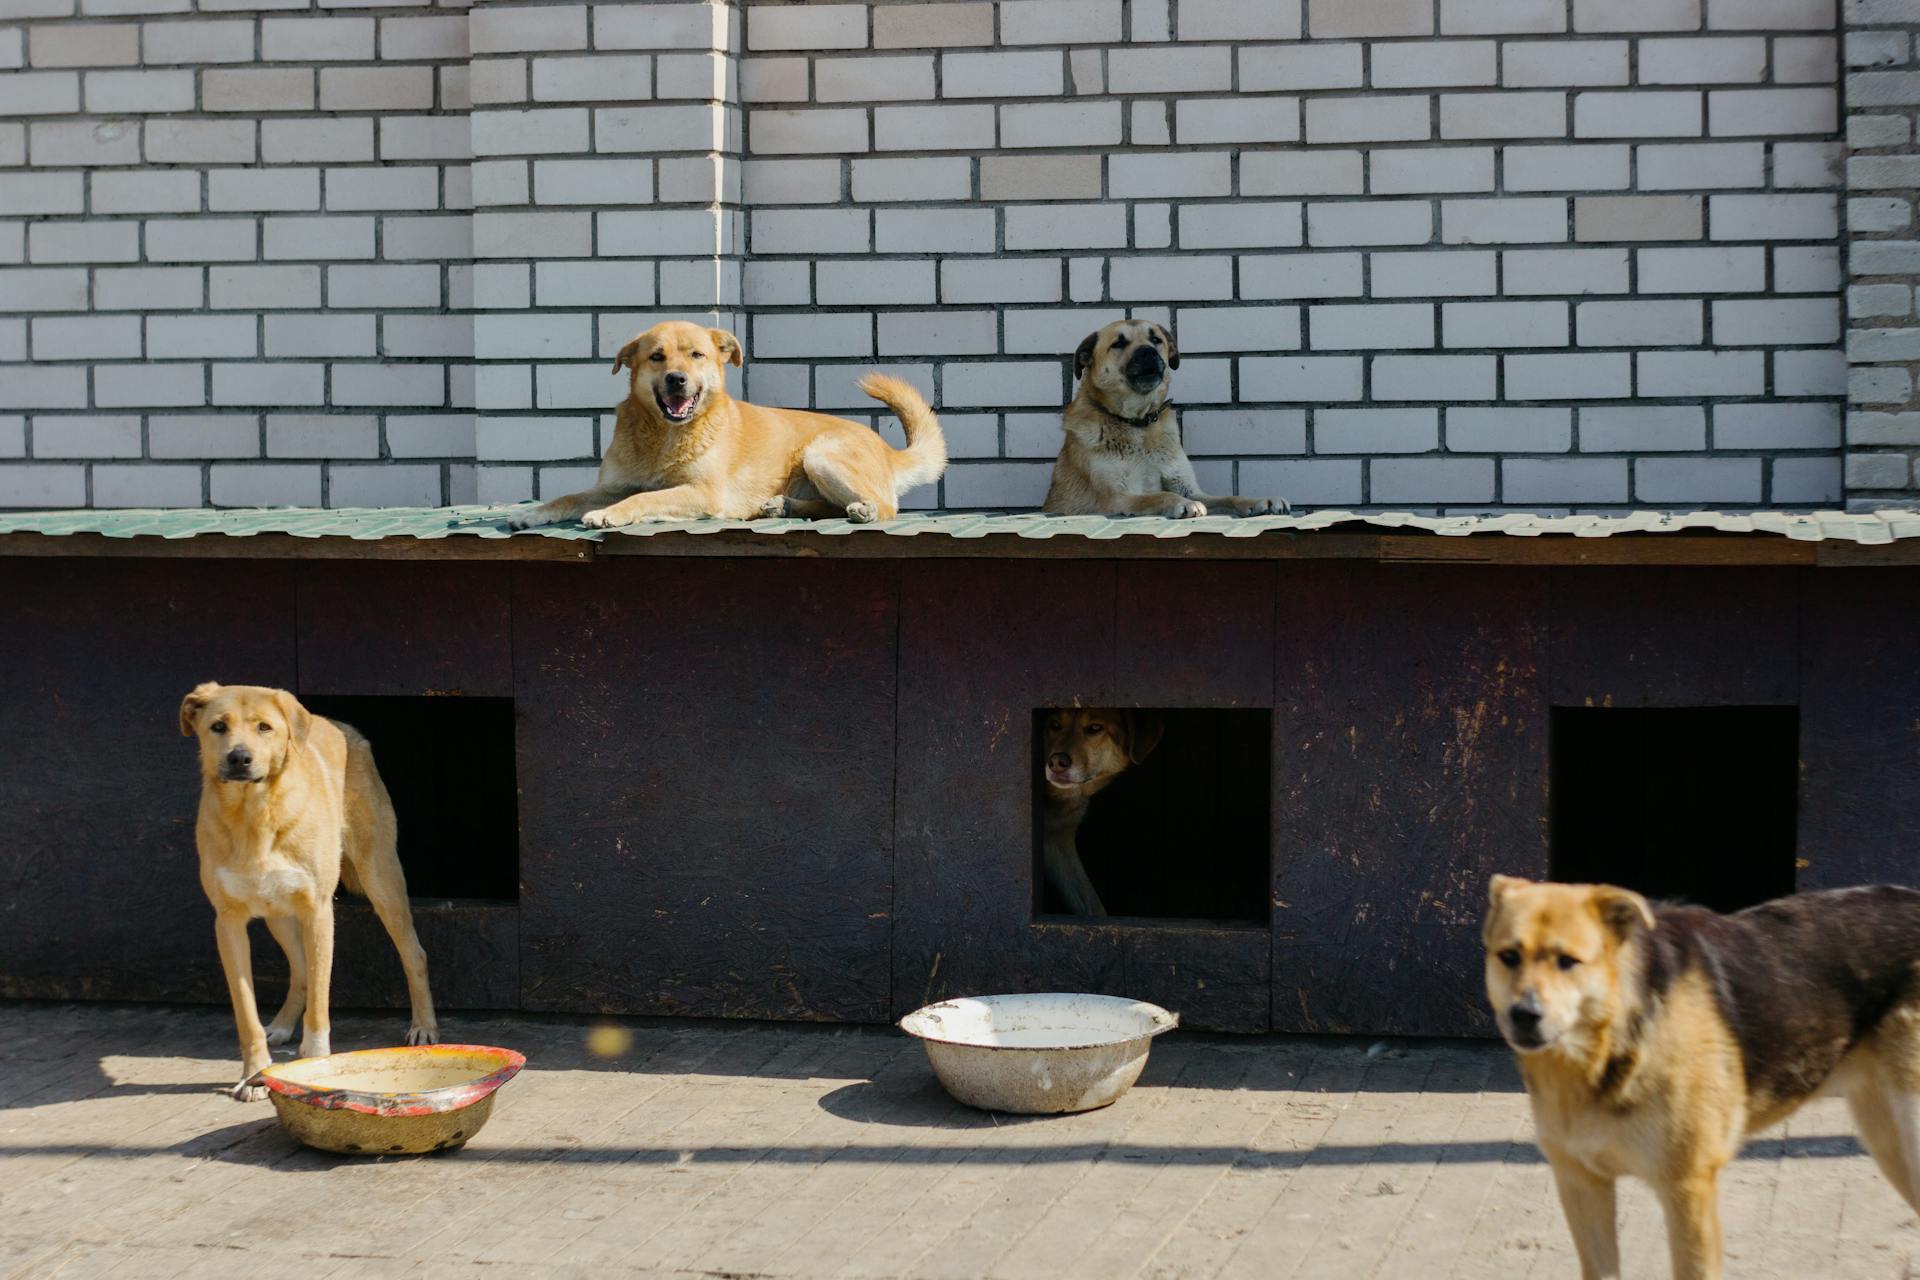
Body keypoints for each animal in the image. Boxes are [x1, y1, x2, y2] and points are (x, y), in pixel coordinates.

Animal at [179, 679, 435, 1105]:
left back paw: (425, 1026)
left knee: (413, 952)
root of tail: (342, 725)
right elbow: (246, 1013)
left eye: (264, 727)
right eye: (218, 727)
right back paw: (282, 1025)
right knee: (298, 970)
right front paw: (254, 1074)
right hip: (278, 914)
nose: (239, 758)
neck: (254, 814)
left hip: (380, 878)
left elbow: (319, 1001)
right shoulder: (229, 924)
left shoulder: (318, 913)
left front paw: (315, 1063)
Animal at [510, 320, 952, 529]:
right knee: (831, 507)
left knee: (885, 507)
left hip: (820, 453)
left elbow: (644, 499)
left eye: (696, 355)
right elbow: (567, 498)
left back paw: (862, 510)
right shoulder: (610, 487)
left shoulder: (702, 493)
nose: (677, 379)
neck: (666, 438)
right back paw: (783, 506)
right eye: (657, 357)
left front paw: (610, 515)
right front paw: (533, 514)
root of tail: (888, 451)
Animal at [1044, 320, 1282, 521]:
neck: (1139, 424)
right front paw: (1181, 504)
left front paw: (1258, 501)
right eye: (1119, 343)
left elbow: (1228, 497)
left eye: (1155, 339)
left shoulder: (1189, 488)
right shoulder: (1118, 498)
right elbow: (1158, 495)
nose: (1147, 351)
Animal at [1489, 882, 1920, 1280]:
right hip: (1888, 1141)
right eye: (1509, 957)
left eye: (1568, 961)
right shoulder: (1582, 1184)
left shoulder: (1688, 1189)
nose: (1523, 1015)